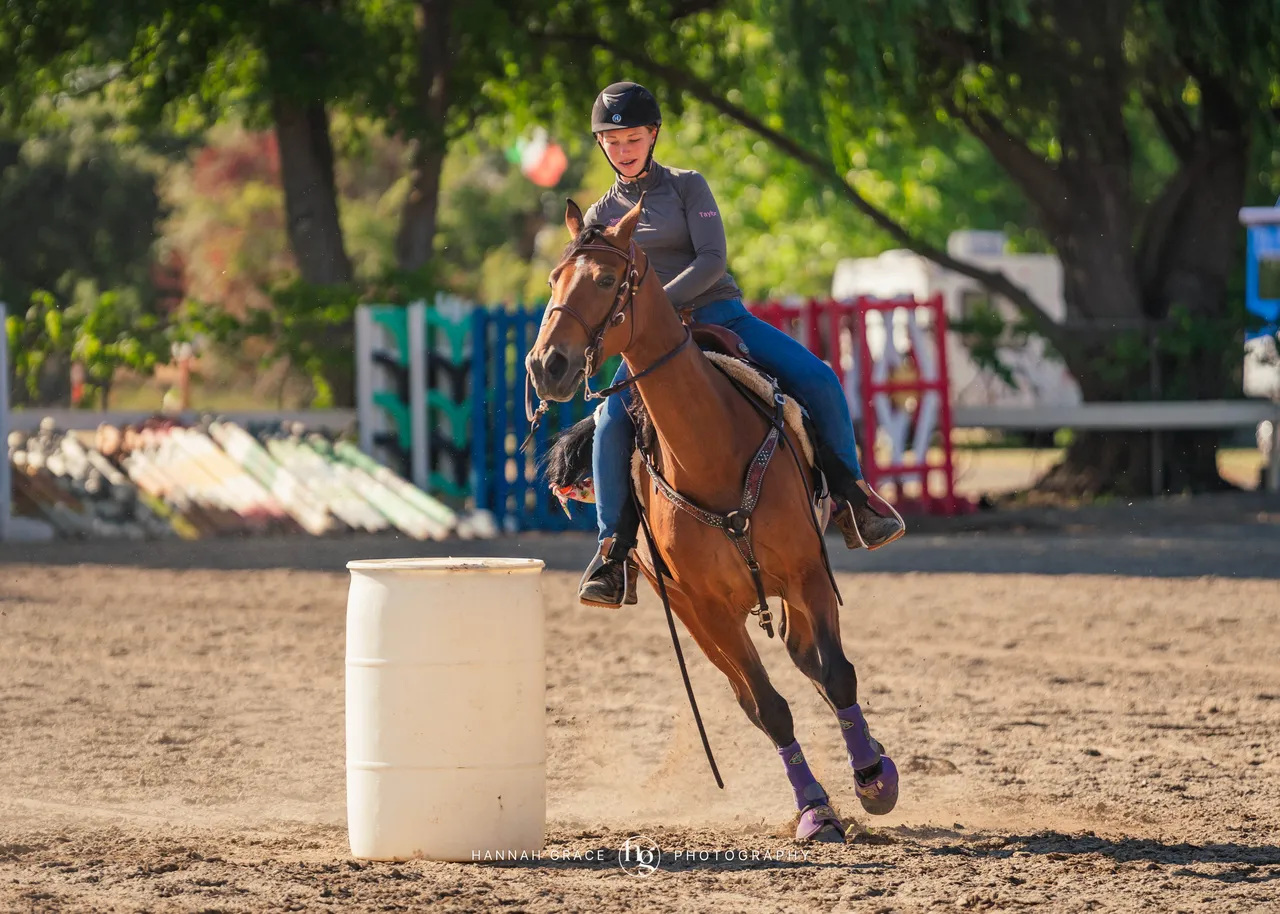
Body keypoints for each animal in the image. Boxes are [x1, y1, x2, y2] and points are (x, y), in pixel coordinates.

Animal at [525, 196, 900, 842]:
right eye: (553, 279)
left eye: (605, 280)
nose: (547, 364)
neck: (710, 451)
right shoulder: (707, 608)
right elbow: (770, 708)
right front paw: (816, 810)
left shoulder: (807, 573)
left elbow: (838, 674)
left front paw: (874, 780)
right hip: (689, 612)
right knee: (759, 694)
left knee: (814, 665)